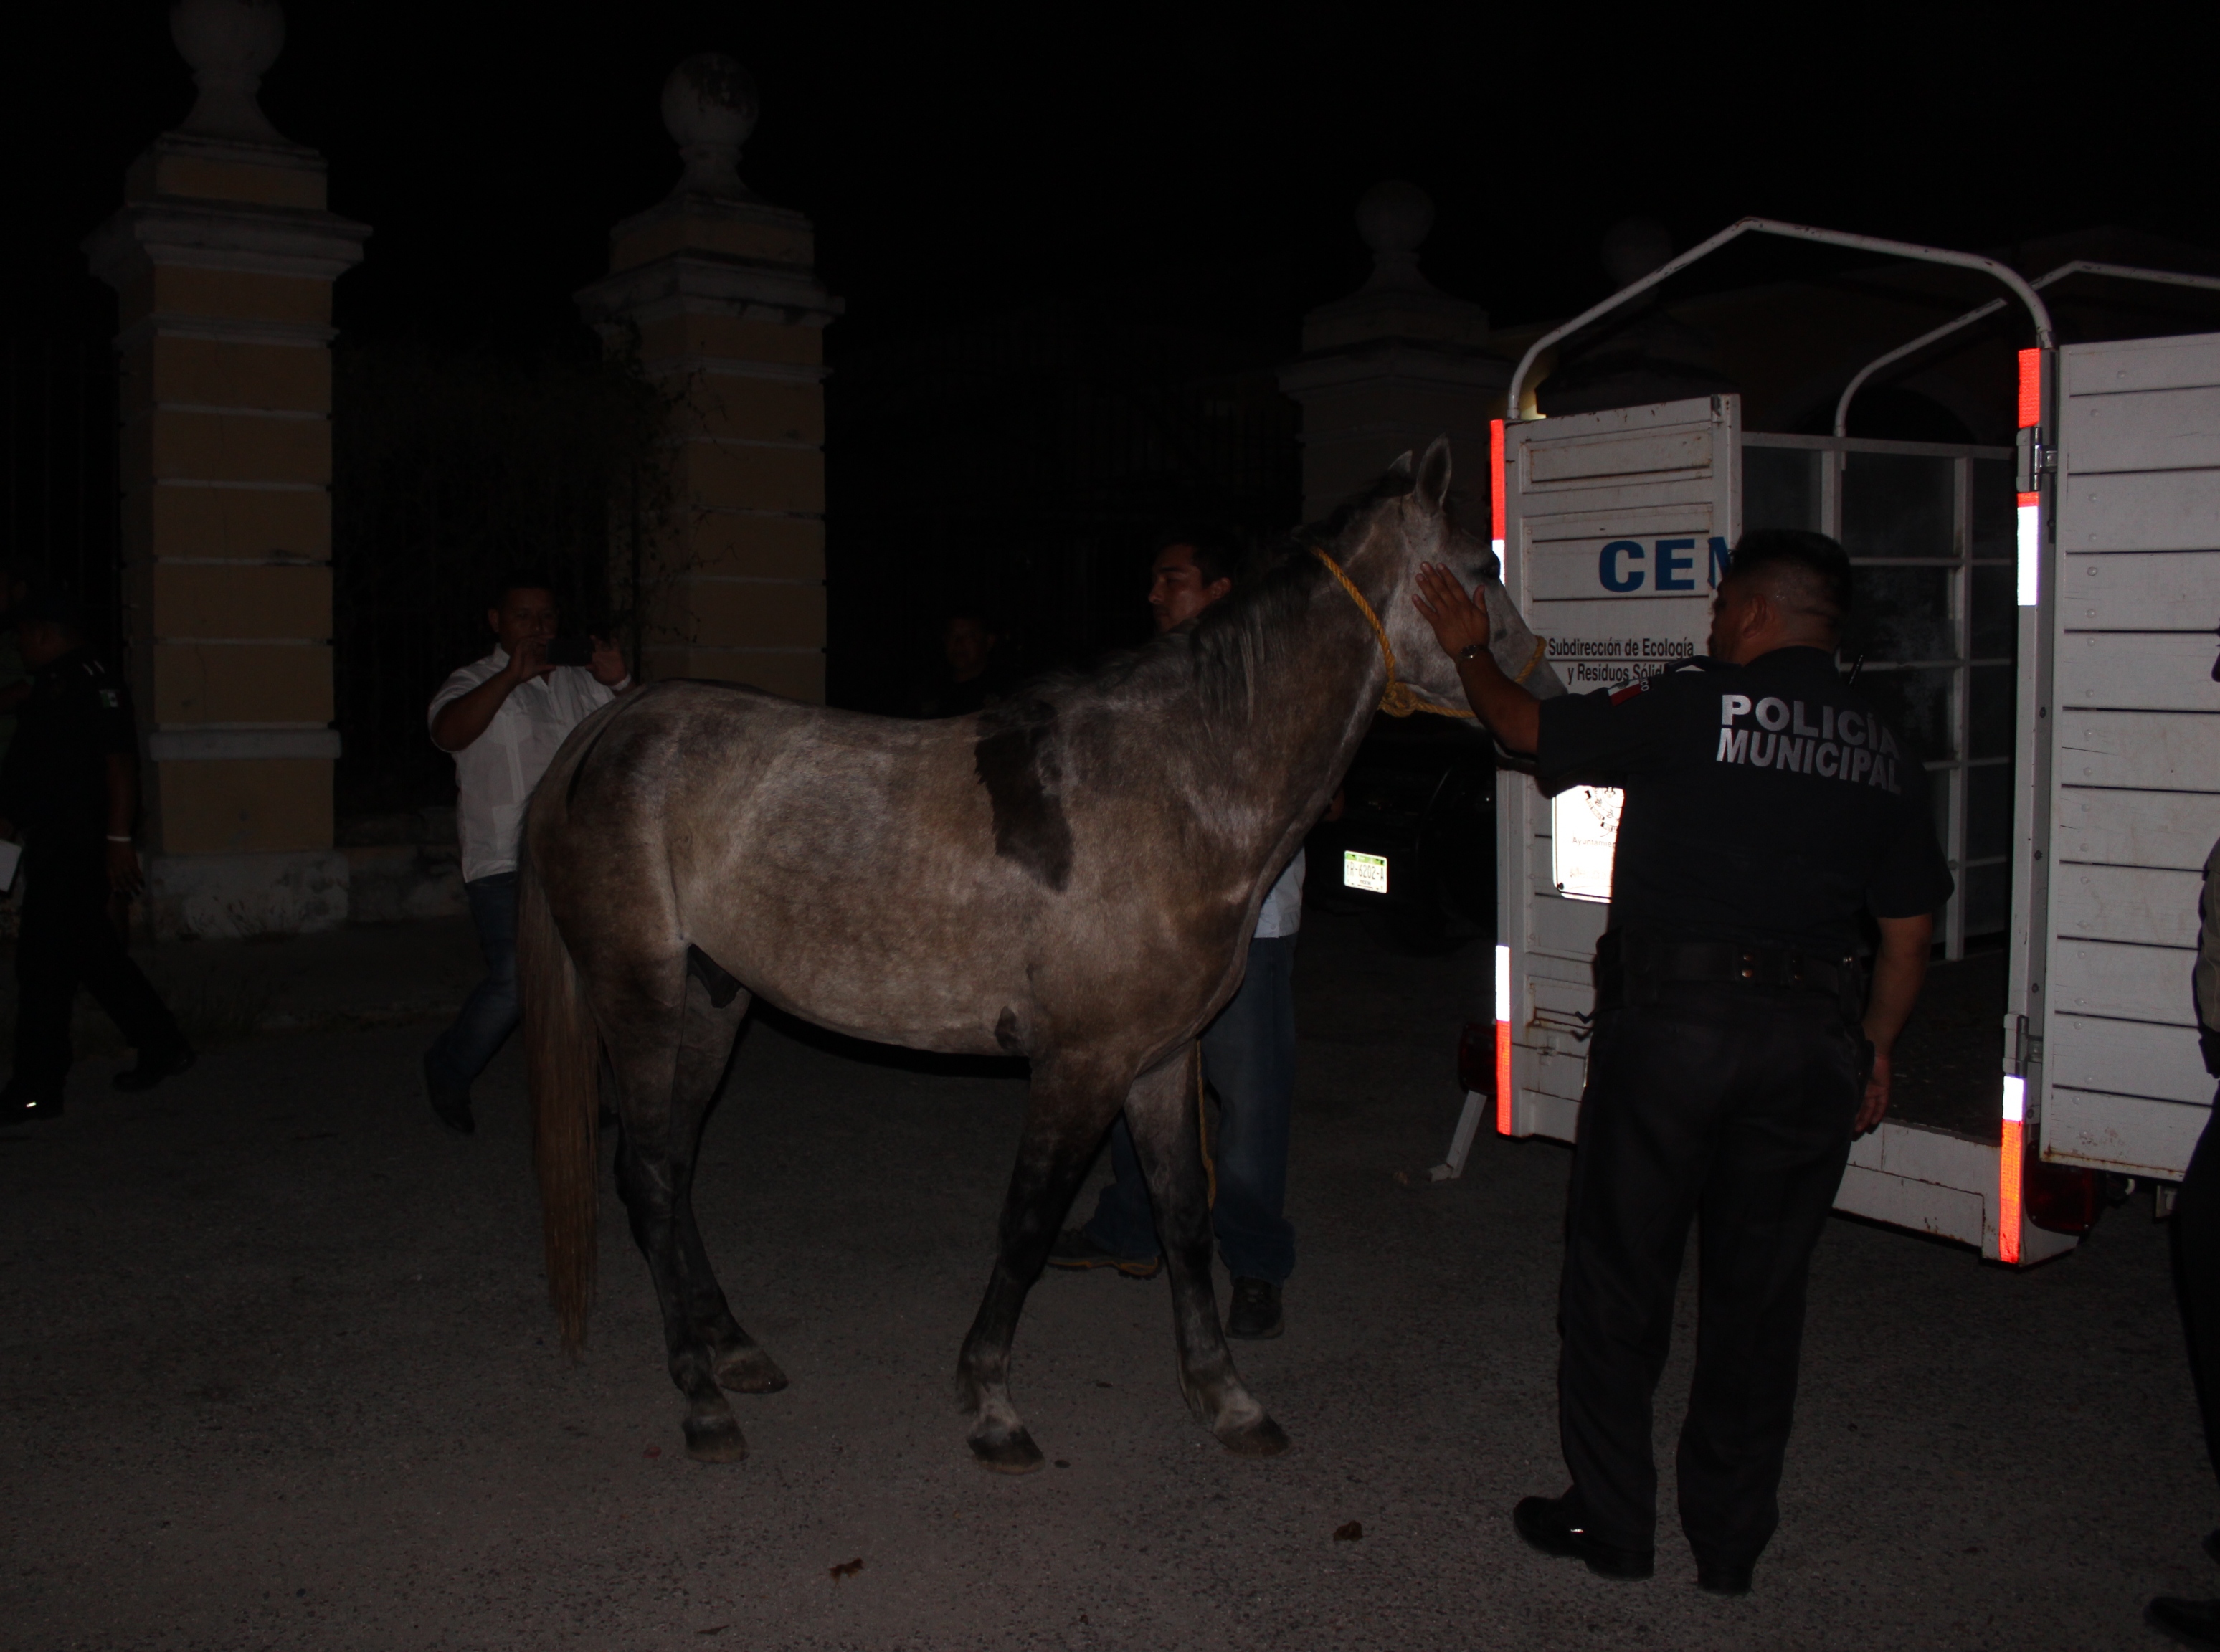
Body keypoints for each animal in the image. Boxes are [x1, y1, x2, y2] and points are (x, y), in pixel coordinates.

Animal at [519, 432, 1562, 1465]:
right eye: (1483, 570)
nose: (1549, 695)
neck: (1182, 786)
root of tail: (605, 728)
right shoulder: (1081, 1064)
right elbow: (1026, 1227)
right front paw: (991, 1401)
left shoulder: (1159, 1061)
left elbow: (1185, 1220)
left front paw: (1224, 1396)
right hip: (640, 993)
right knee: (650, 1176)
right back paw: (699, 1397)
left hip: (714, 997)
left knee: (674, 1161)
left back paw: (729, 1346)